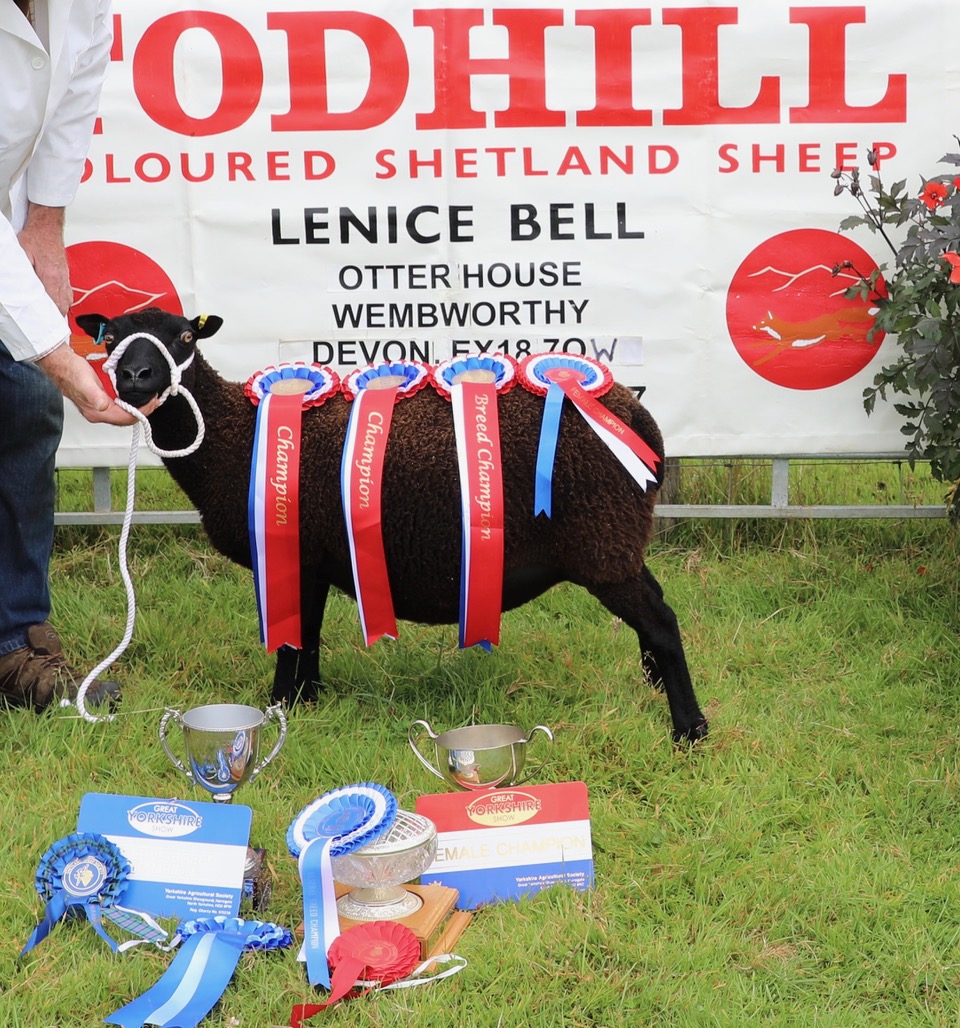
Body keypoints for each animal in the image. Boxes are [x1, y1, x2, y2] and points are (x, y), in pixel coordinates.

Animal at [79, 302, 711, 740]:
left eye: (184, 336)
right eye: (109, 338)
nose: (136, 378)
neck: (232, 438)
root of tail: (642, 423)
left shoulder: (293, 551)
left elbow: (291, 638)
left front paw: (279, 708)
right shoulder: (317, 558)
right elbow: (308, 637)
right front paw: (307, 703)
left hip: (601, 539)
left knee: (661, 621)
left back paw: (689, 730)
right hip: (618, 540)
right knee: (656, 608)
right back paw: (655, 687)